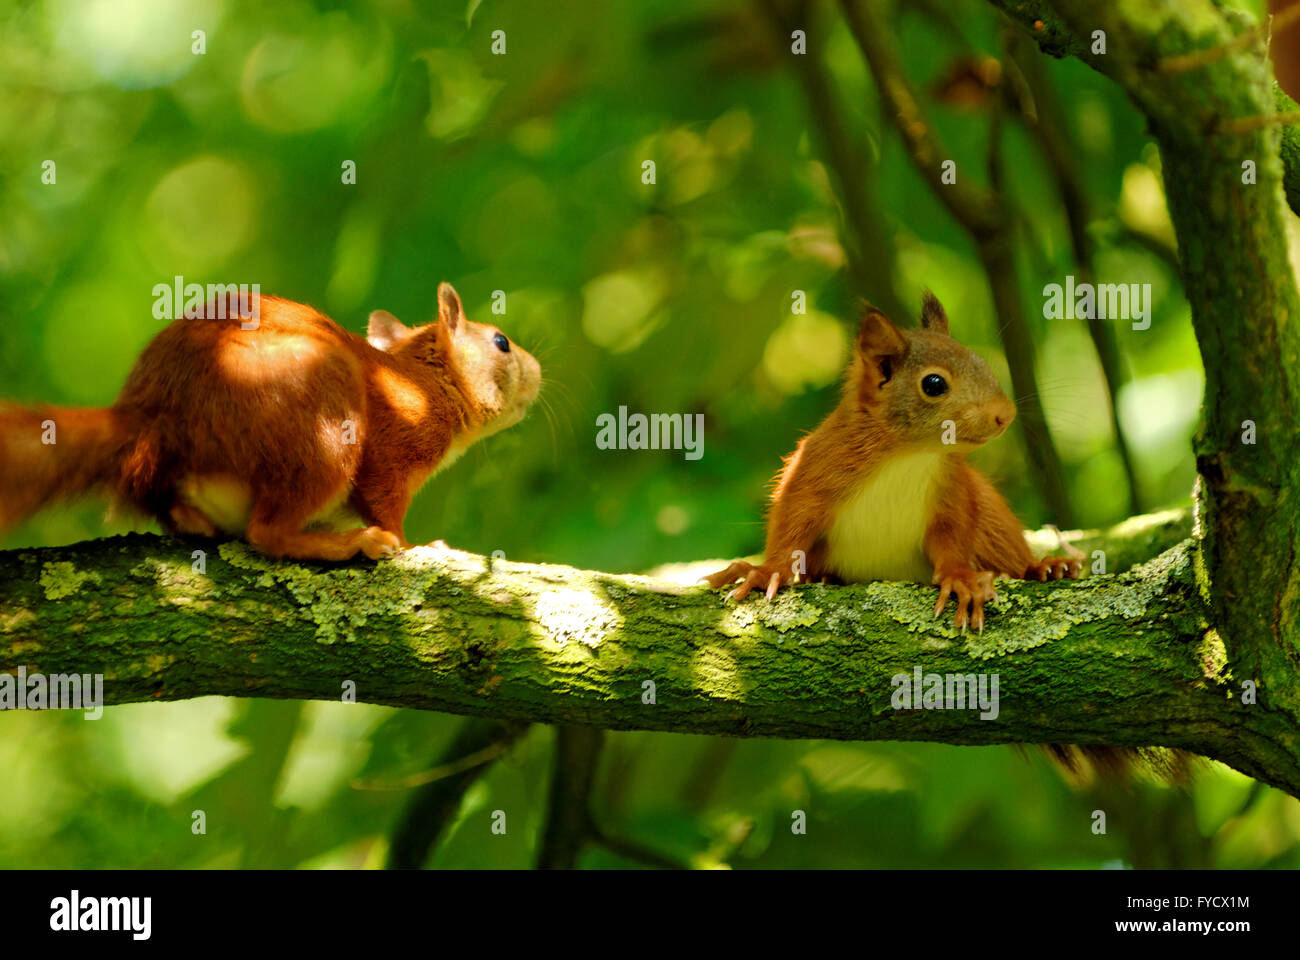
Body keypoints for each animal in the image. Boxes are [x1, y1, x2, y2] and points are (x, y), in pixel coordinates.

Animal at [0, 280, 538, 561]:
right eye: (501, 342)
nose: (538, 373)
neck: (424, 383)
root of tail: (152, 418)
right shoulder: (395, 438)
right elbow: (384, 500)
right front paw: (412, 543)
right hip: (319, 418)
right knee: (268, 533)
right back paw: (349, 544)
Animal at [707, 291, 1081, 629]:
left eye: (981, 362)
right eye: (934, 384)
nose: (1006, 414)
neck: (909, 456)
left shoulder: (953, 492)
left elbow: (953, 538)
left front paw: (961, 579)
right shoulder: (812, 471)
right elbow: (790, 528)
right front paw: (766, 571)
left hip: (993, 516)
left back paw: (1045, 567)